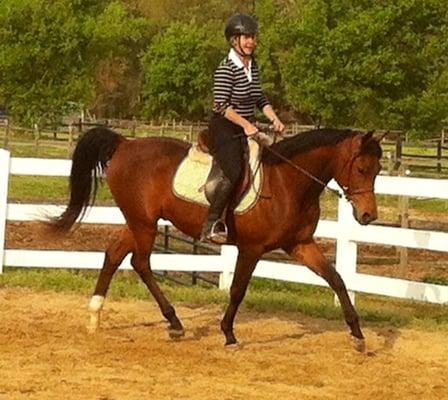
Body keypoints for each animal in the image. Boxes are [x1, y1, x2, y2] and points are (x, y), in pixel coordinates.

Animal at [50, 126, 384, 352]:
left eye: (378, 169)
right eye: (361, 168)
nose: (368, 215)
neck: (288, 182)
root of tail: (124, 144)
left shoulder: (299, 245)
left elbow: (336, 279)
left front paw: (357, 335)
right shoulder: (252, 249)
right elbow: (237, 290)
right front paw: (229, 334)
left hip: (137, 221)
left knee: (114, 254)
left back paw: (95, 316)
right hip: (144, 223)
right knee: (140, 263)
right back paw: (174, 322)